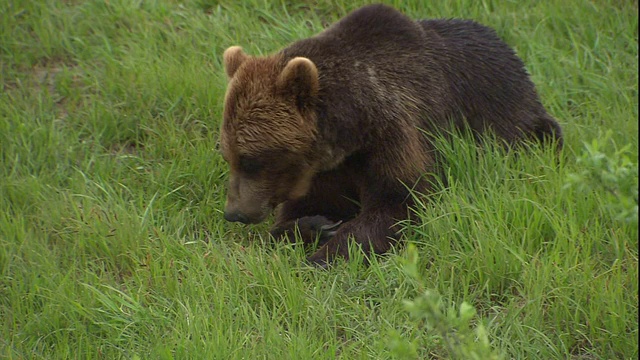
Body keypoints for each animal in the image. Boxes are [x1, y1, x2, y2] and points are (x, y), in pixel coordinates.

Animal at [219, 3, 560, 268]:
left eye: (251, 159)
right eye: (227, 155)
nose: (234, 213)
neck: (351, 131)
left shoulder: (393, 135)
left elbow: (398, 203)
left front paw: (324, 255)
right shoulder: (322, 170)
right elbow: (301, 211)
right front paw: (316, 226)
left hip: (515, 118)